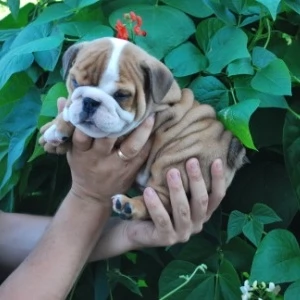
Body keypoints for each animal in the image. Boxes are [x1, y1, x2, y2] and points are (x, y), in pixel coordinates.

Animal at [39, 37, 246, 220]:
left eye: (122, 95)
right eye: (75, 82)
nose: (90, 101)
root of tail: (232, 148)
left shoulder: (126, 131)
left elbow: (78, 123)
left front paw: (58, 128)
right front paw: (51, 133)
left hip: (176, 162)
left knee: (164, 201)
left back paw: (129, 205)